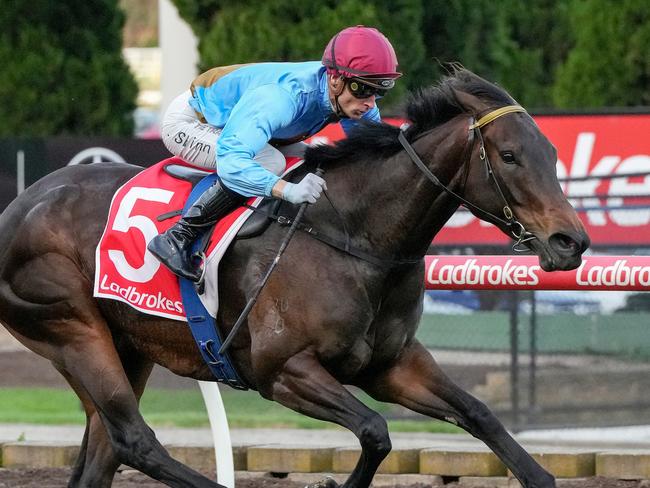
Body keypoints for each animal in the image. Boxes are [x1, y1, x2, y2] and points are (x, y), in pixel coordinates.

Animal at [0, 68, 588, 488]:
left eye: (552, 153)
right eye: (509, 157)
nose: (571, 242)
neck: (355, 234)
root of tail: (18, 206)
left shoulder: (392, 365)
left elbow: (479, 414)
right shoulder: (281, 370)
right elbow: (376, 431)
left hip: (129, 344)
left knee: (105, 451)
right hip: (73, 328)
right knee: (135, 438)